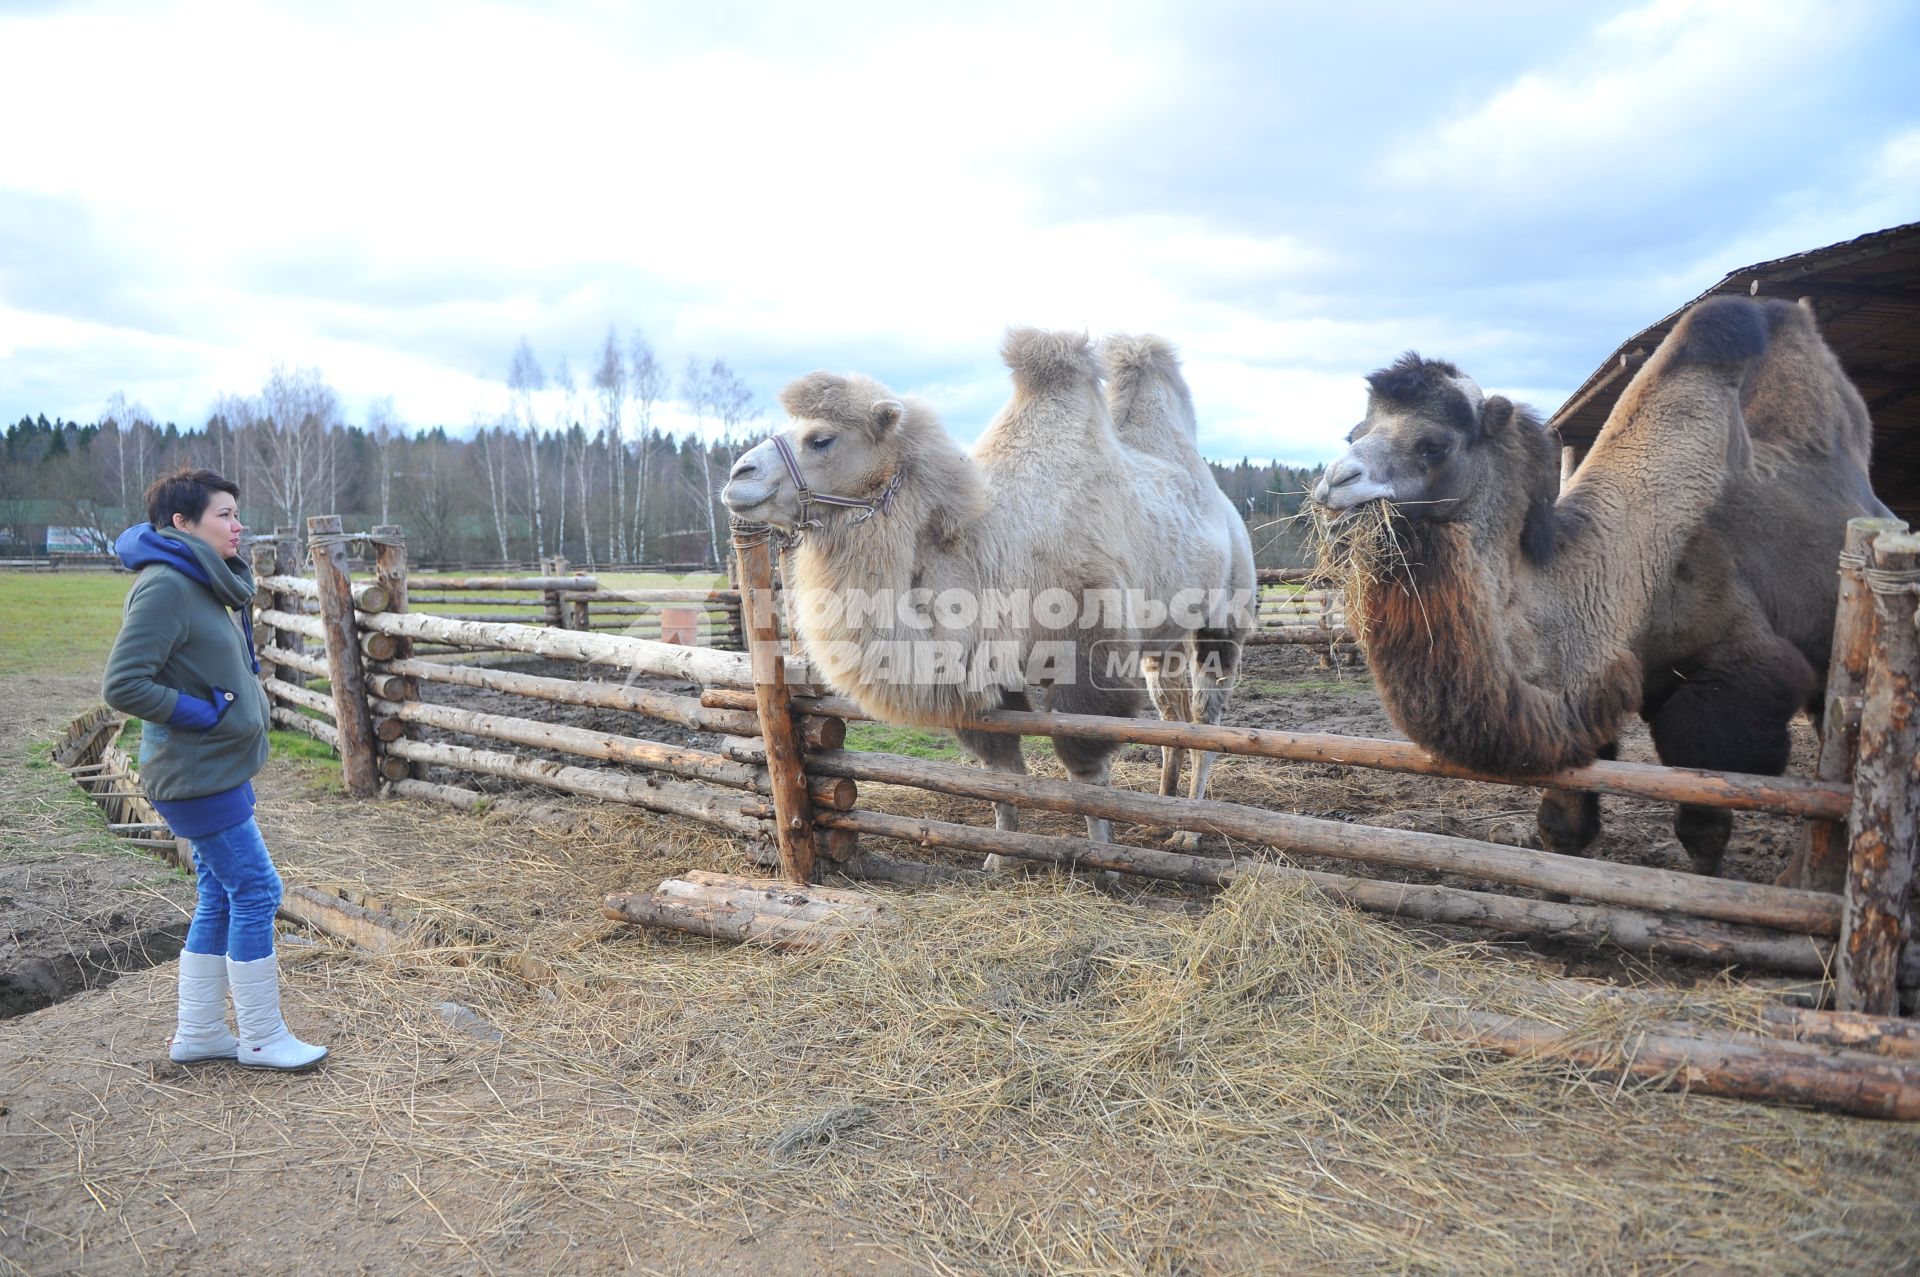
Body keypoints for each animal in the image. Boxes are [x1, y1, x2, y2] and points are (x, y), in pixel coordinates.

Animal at [721, 334, 1259, 860]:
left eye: (822, 439)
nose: (736, 476)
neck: (991, 555)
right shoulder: (982, 669)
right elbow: (1002, 773)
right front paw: (1000, 856)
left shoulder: (1090, 656)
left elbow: (1085, 772)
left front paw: (1104, 862)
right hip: (1161, 639)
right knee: (1173, 716)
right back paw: (1165, 811)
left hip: (1224, 617)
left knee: (1207, 718)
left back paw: (1189, 832)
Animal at [1320, 299, 1889, 875]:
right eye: (1353, 433)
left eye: (1433, 444)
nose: (1332, 483)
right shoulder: (1584, 693)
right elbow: (1563, 826)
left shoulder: (1737, 681)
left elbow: (1704, 827)